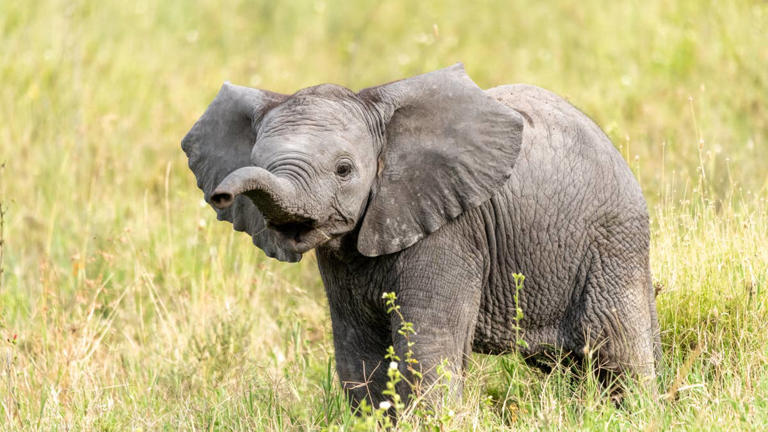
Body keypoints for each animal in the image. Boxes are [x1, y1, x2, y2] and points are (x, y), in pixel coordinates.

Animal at [181, 63, 660, 407]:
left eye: (344, 169)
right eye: (257, 161)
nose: (222, 194)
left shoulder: (452, 233)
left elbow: (426, 352)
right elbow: (360, 358)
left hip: (612, 245)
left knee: (618, 354)